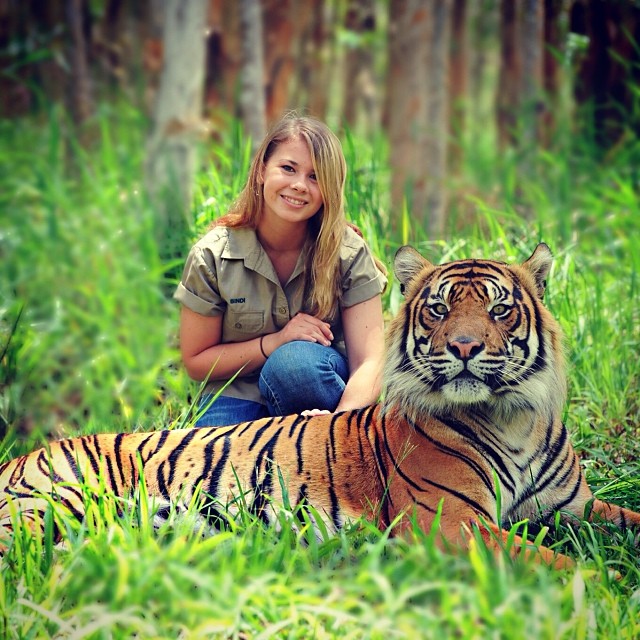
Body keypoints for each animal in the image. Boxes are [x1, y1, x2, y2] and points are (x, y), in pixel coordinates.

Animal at [1, 242, 640, 568]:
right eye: (438, 309)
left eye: (499, 309)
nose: (463, 347)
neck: (514, 417)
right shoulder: (451, 523)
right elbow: (563, 565)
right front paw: (601, 593)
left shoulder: (575, 508)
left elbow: (626, 522)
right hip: (49, 503)